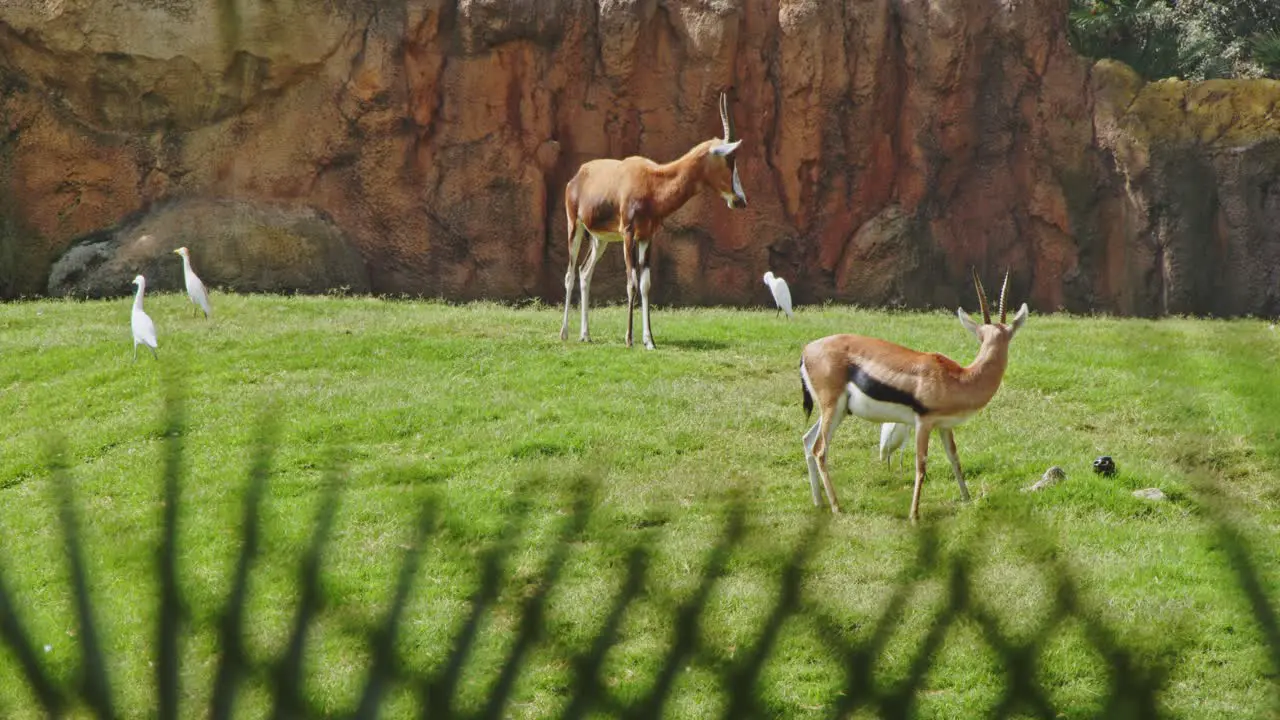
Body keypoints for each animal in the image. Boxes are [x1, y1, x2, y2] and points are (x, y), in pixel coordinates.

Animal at [560, 90, 747, 348]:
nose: (740, 200)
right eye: (730, 158)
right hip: (575, 227)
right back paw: (564, 333)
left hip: (601, 239)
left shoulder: (647, 237)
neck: (651, 180)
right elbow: (631, 282)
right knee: (569, 274)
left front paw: (649, 341)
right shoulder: (629, 235)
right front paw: (629, 339)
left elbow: (645, 284)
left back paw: (585, 335)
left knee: (584, 272)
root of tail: (578, 176)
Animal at [798, 271, 1029, 517]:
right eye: (982, 337)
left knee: (807, 441)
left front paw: (967, 500)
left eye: (1006, 336)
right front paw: (914, 515)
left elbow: (954, 458)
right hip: (832, 408)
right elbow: (921, 465)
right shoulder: (923, 423)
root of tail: (807, 350)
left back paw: (818, 502)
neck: (959, 378)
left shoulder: (944, 426)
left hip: (838, 411)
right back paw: (836, 507)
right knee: (820, 450)